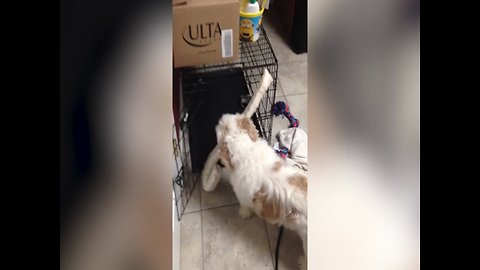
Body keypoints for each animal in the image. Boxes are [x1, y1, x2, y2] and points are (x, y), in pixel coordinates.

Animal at [215, 113, 306, 268]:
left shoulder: (242, 194)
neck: (246, 148)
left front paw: (244, 213)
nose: (218, 121)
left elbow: (244, 205)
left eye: (223, 127)